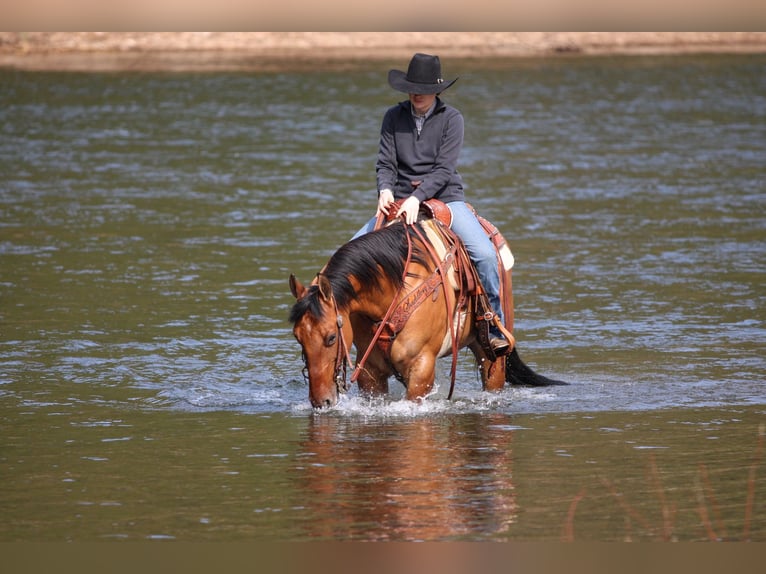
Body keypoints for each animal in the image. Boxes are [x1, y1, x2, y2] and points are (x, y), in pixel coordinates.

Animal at [289, 215, 563, 409]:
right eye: (297, 337)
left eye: (331, 338)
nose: (321, 402)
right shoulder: (371, 374)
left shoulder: (421, 369)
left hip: (492, 354)